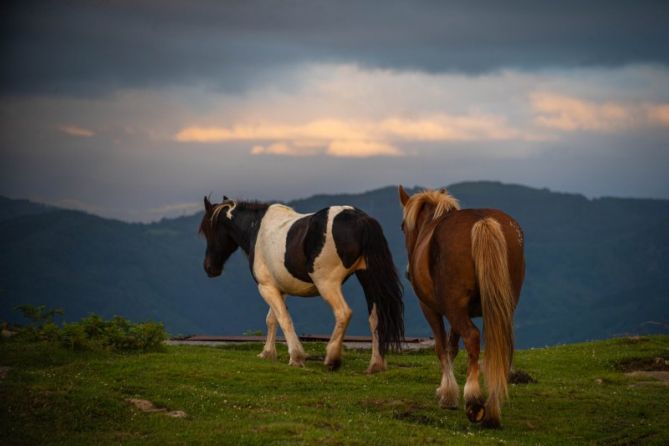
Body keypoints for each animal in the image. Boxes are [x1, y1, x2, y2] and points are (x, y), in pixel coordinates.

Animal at [198, 196, 404, 372]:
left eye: (208, 229)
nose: (209, 268)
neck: (257, 229)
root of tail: (361, 219)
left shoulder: (266, 287)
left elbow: (283, 319)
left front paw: (296, 357)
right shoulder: (278, 288)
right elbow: (272, 319)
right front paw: (267, 353)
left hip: (327, 284)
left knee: (343, 313)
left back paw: (332, 358)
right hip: (368, 278)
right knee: (376, 318)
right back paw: (376, 365)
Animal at [396, 186, 520, 428]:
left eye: (403, 226)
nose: (407, 272)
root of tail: (482, 220)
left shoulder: (432, 309)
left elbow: (441, 347)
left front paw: (447, 394)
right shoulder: (457, 312)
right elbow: (452, 347)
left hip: (454, 310)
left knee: (472, 336)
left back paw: (474, 399)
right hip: (498, 309)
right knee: (501, 346)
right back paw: (493, 408)